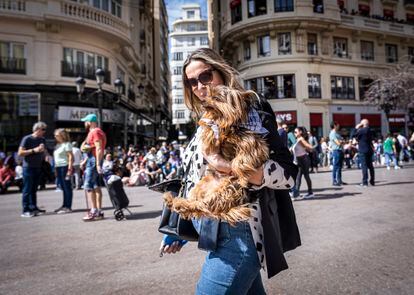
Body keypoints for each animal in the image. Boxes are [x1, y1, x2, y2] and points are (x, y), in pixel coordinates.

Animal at [163, 86, 270, 225]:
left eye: (216, 97)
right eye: (208, 95)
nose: (203, 102)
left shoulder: (254, 143)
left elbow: (242, 157)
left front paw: (240, 174)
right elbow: (210, 129)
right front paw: (211, 127)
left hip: (226, 189)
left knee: (202, 207)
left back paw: (178, 203)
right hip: (200, 187)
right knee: (198, 205)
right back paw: (175, 201)